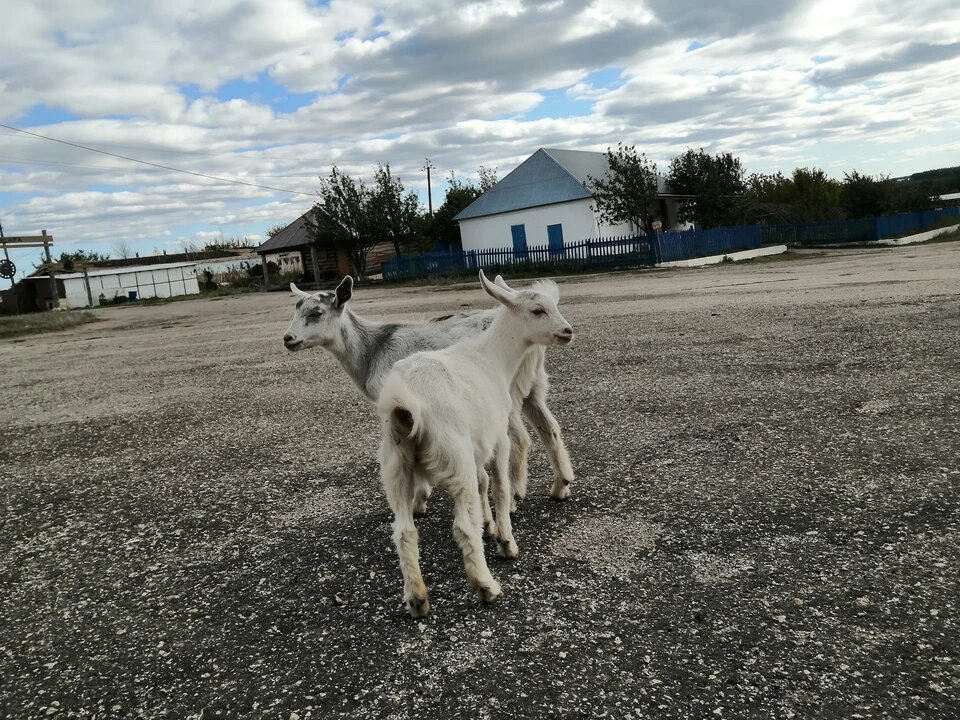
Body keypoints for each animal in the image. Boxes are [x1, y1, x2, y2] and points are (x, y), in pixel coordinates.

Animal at [282, 276, 572, 506]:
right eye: (296, 311)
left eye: (316, 313)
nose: (288, 339)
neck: (372, 349)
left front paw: (419, 499)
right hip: (533, 387)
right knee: (549, 428)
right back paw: (561, 485)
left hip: (507, 391)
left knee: (520, 438)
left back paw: (515, 495)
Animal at [376, 272, 572, 620]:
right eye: (537, 310)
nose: (567, 332)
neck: (492, 358)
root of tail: (405, 404)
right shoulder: (498, 439)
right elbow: (501, 488)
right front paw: (505, 539)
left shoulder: (478, 444)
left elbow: (484, 485)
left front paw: (490, 524)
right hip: (455, 457)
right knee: (463, 526)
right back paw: (485, 585)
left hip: (395, 466)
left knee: (404, 531)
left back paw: (417, 599)